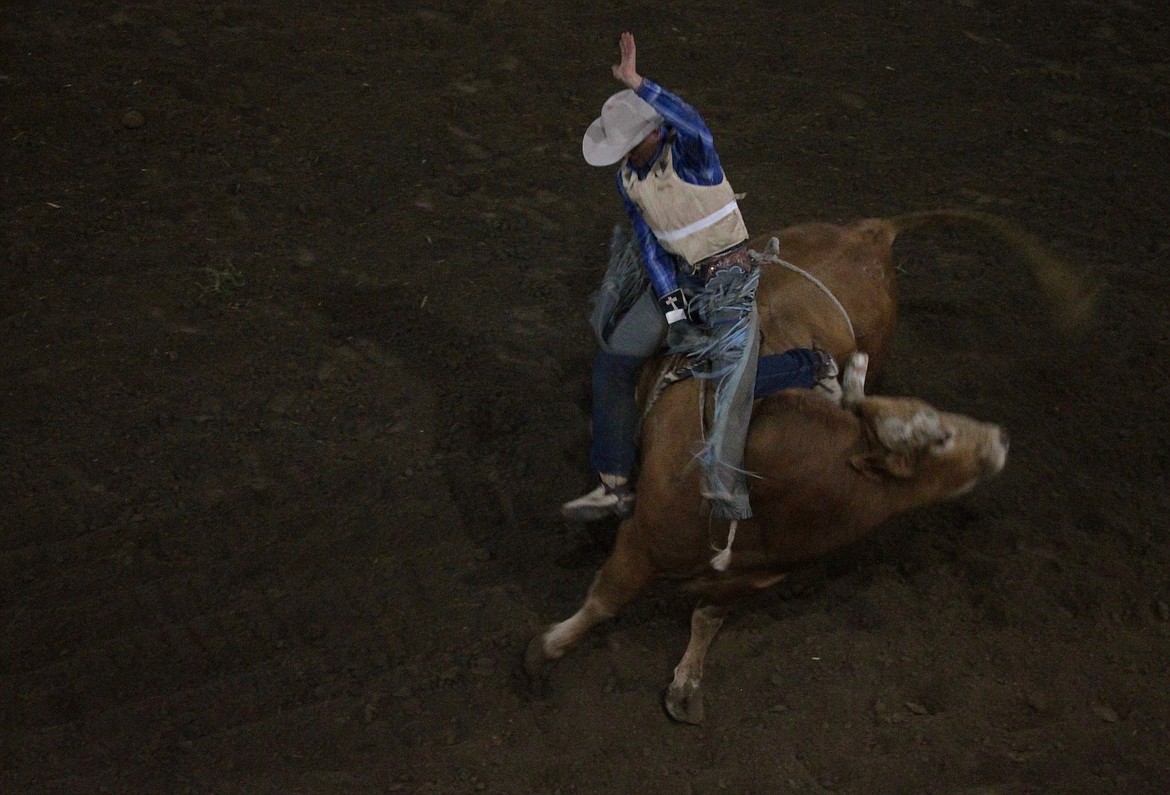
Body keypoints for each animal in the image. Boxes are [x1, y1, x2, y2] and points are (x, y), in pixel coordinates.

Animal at [526, 211, 1090, 721]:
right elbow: (606, 599)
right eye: (940, 436)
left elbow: (707, 616)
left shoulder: (752, 577)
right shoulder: (640, 542)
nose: (1000, 438)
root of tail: (871, 232)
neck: (769, 481)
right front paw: (548, 648)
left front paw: (687, 682)